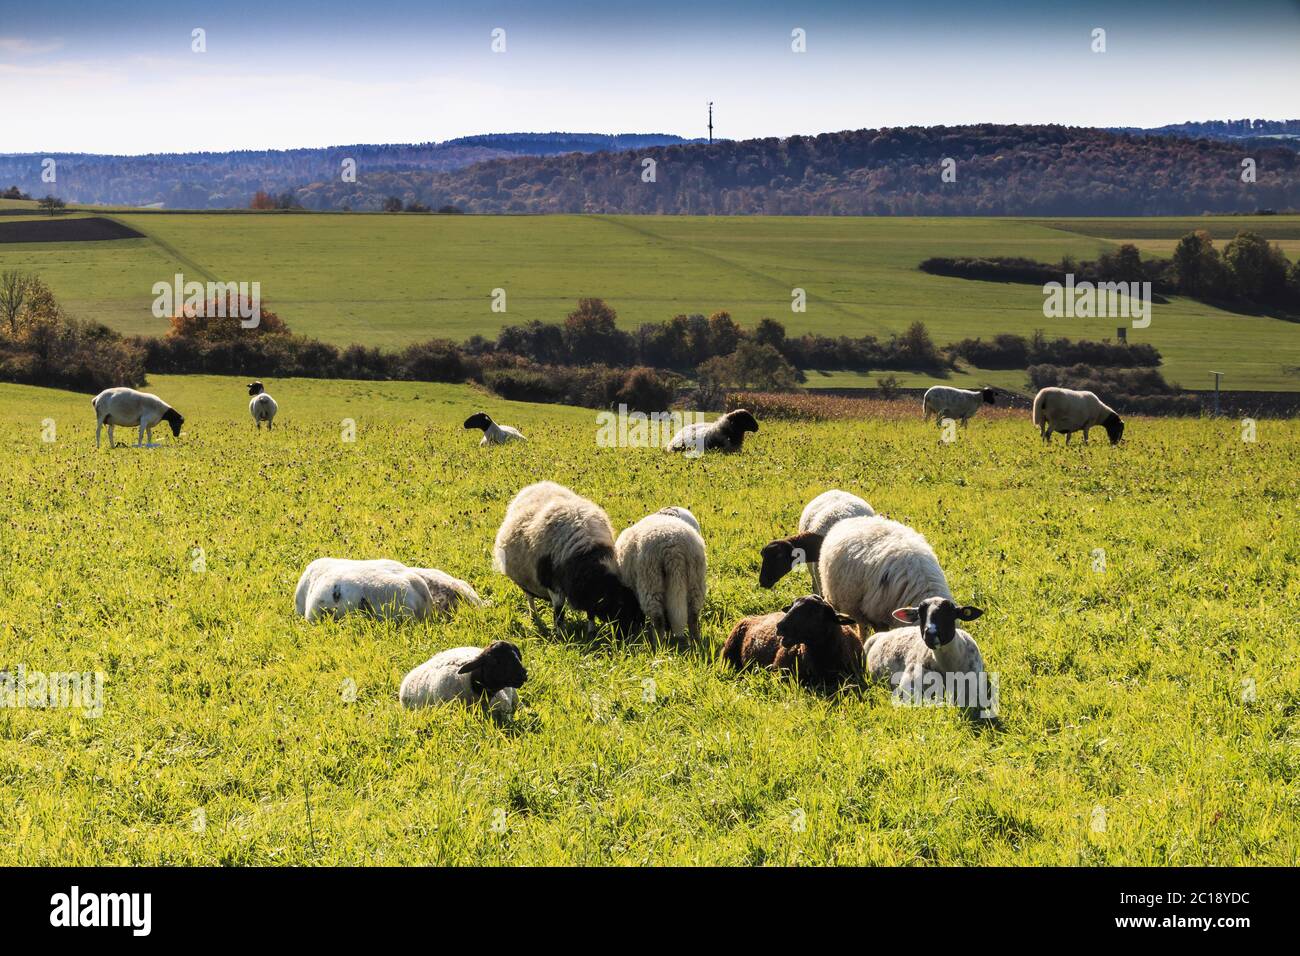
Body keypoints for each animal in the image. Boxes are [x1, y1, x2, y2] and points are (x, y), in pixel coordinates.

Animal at [493, 478, 642, 634]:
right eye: (620, 606)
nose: (628, 635)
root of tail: (537, 485)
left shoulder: (587, 591)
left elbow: (590, 611)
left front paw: (591, 631)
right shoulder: (554, 586)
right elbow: (559, 613)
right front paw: (560, 634)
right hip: (527, 579)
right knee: (530, 597)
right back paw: (533, 615)